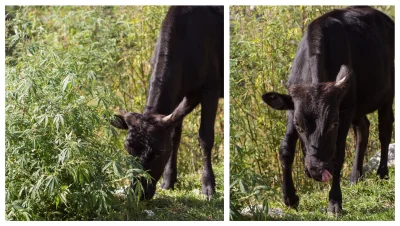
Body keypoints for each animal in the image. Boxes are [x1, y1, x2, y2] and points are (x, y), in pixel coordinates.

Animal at [110, 5, 222, 200]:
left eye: (157, 153)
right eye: (129, 150)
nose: (139, 193)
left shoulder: (211, 88)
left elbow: (205, 137)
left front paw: (208, 186)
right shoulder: (180, 95)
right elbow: (174, 135)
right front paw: (169, 181)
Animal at [262, 6, 394, 215]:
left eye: (333, 123)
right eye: (299, 125)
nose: (317, 170)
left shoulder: (345, 110)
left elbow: (338, 154)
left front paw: (334, 202)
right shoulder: (292, 109)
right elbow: (285, 150)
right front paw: (289, 197)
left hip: (387, 96)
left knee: (385, 131)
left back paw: (382, 174)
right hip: (360, 106)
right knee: (363, 129)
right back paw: (355, 177)